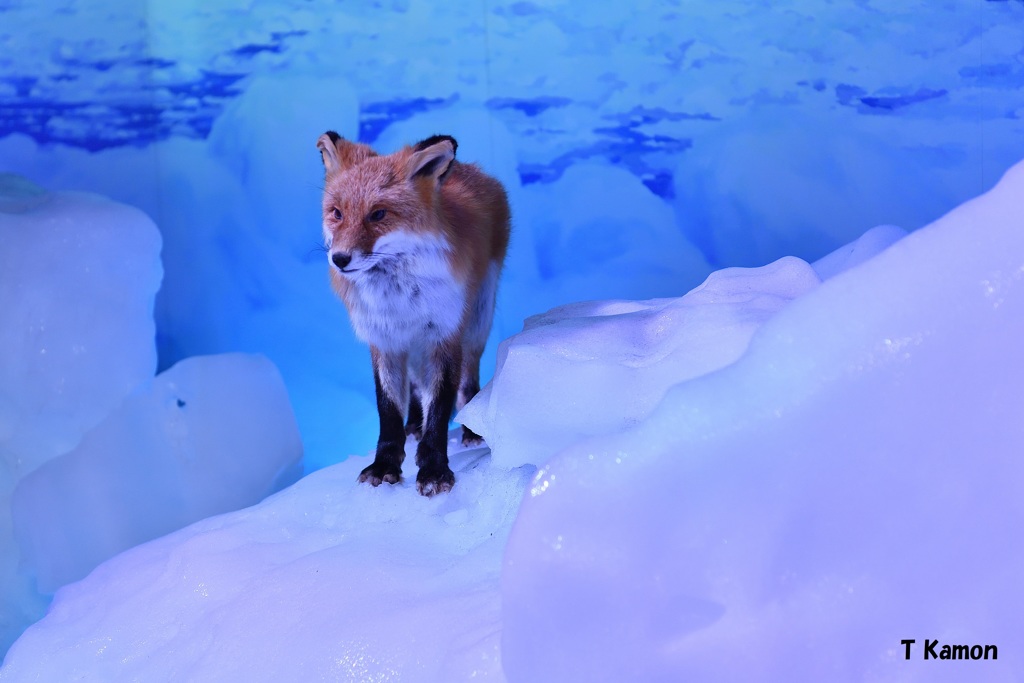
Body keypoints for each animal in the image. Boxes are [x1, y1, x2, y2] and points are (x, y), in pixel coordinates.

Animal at [315, 132, 512, 497]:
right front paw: (385, 465)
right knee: (418, 388)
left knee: (468, 382)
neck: (397, 298)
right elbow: (389, 409)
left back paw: (470, 430)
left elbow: (441, 404)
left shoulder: (443, 335)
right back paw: (415, 425)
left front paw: (434, 468)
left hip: (477, 322)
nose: (340, 259)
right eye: (337, 213)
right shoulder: (384, 340)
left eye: (378, 214)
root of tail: (469, 168)